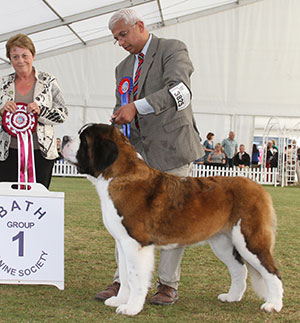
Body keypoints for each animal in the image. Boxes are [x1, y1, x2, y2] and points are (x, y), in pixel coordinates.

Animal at [61, 123, 284, 316]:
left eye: (84, 139)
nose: (63, 138)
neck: (119, 176)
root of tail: (258, 187)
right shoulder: (123, 243)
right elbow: (124, 275)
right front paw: (119, 299)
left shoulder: (136, 243)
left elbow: (135, 277)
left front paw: (131, 308)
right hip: (223, 242)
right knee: (239, 269)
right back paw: (232, 297)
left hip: (250, 240)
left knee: (272, 271)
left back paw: (273, 304)